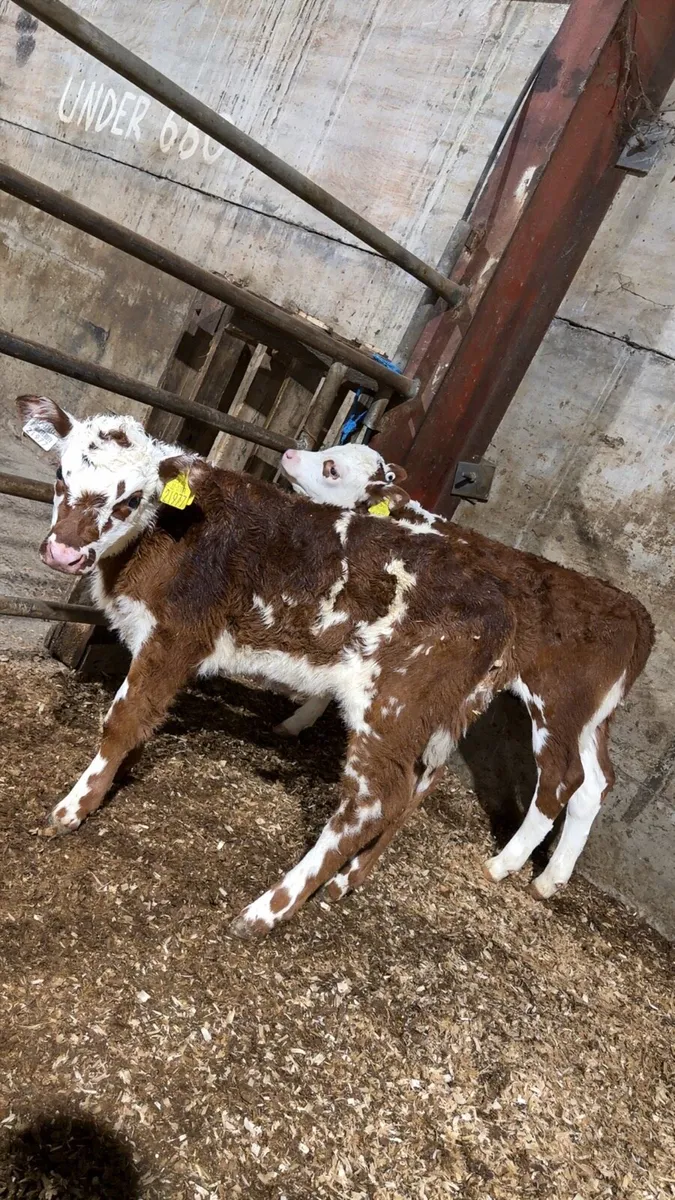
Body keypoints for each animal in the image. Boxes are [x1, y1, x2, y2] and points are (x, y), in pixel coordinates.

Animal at [17, 397, 652, 936]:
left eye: (130, 499)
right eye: (61, 477)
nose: (64, 553)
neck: (169, 533)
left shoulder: (176, 635)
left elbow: (121, 720)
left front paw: (72, 810)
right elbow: (145, 718)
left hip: (430, 704)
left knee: (380, 801)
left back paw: (268, 910)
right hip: (456, 714)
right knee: (506, 786)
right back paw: (361, 883)